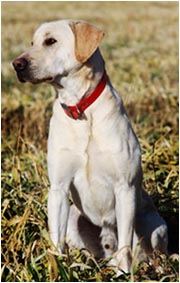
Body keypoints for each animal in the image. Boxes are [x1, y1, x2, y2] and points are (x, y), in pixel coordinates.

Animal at [12, 18, 167, 274]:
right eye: (32, 43)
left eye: (51, 41)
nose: (16, 64)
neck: (80, 109)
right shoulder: (58, 188)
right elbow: (56, 241)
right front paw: (57, 270)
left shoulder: (125, 188)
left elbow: (126, 244)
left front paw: (123, 273)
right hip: (74, 218)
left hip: (153, 223)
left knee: (149, 251)